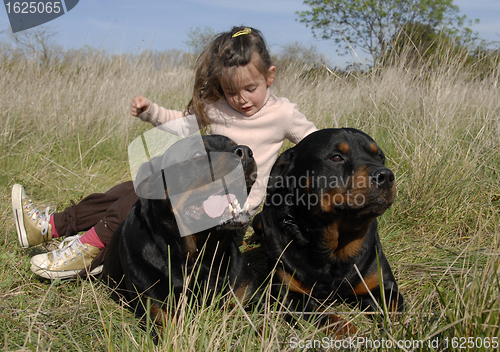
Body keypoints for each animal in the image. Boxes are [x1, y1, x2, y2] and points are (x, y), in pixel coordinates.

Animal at [102, 134, 258, 332]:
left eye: (235, 144)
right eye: (196, 154)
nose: (245, 151)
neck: (200, 259)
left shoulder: (248, 296)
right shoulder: (163, 317)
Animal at [254, 128, 406, 334]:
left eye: (379, 157)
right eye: (336, 158)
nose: (386, 176)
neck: (334, 249)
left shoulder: (384, 286)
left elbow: (395, 312)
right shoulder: (287, 293)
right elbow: (333, 320)